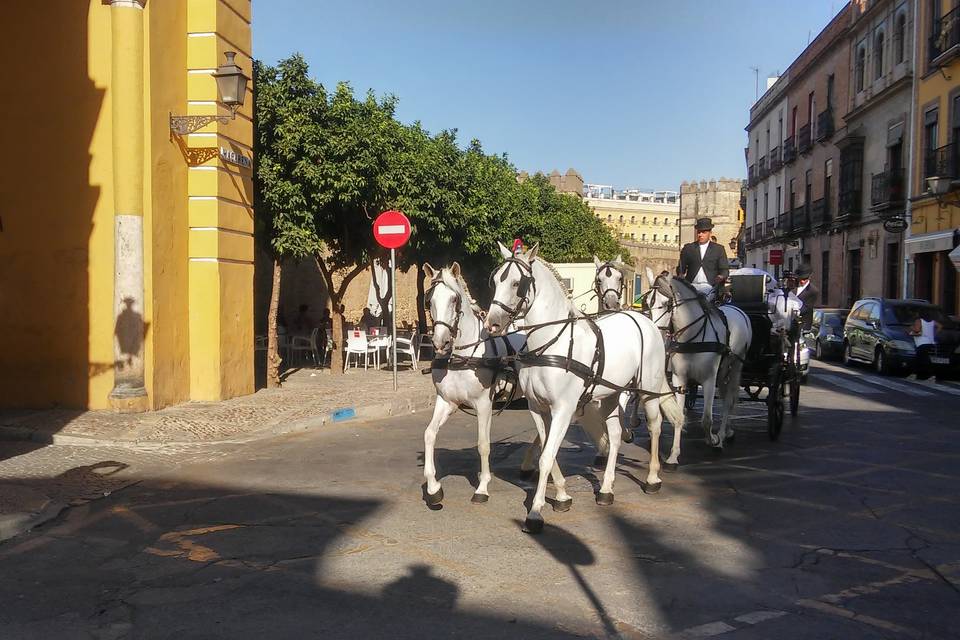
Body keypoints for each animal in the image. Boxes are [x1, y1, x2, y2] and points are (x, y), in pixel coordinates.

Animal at [480, 242, 684, 532]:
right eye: (496, 280)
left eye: (517, 283)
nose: (492, 323)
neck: (551, 344)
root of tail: (645, 321)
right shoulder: (538, 408)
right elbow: (548, 451)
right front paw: (562, 495)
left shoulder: (564, 409)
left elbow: (547, 456)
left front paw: (536, 511)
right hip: (611, 394)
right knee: (615, 434)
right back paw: (607, 489)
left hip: (648, 389)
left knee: (655, 426)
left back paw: (653, 477)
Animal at [644, 266, 752, 456]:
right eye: (647, 303)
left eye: (666, 304)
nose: (654, 332)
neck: (692, 336)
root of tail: (737, 309)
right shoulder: (679, 378)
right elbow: (679, 414)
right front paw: (674, 454)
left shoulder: (709, 379)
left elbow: (707, 419)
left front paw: (713, 440)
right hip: (723, 372)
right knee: (726, 396)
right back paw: (727, 431)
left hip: (736, 367)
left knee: (729, 400)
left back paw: (722, 434)